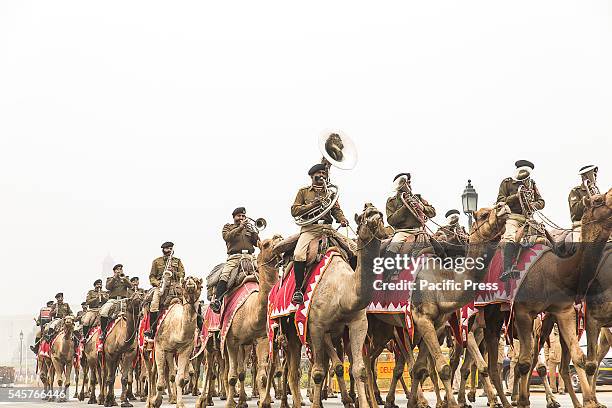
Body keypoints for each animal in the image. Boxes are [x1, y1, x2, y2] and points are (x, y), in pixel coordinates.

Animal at [151, 278, 203, 408]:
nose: (190, 281)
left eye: (199, 283)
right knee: (154, 373)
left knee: (171, 374)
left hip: (171, 352)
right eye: (184, 283)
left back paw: (173, 398)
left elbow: (180, 379)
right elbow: (160, 382)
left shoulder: (185, 349)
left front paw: (180, 403)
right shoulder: (159, 347)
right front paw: (155, 402)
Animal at [506, 189, 612, 408]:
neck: (556, 270)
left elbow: (580, 358)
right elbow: (525, 362)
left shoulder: (564, 311)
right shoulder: (523, 311)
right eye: (598, 200)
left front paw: (590, 402)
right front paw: (523, 400)